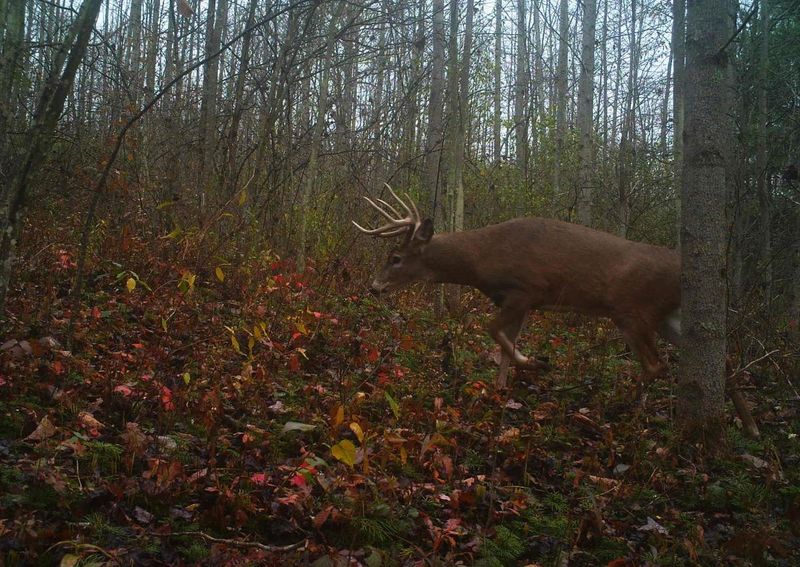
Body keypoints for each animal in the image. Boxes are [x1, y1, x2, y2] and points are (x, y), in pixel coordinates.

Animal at [354, 186, 759, 438]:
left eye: (395, 257)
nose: (373, 286)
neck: (481, 260)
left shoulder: (525, 290)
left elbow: (492, 331)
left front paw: (534, 363)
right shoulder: (514, 301)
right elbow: (502, 345)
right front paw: (500, 391)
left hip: (633, 311)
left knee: (656, 364)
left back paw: (619, 410)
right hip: (668, 317)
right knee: (721, 358)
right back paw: (751, 426)